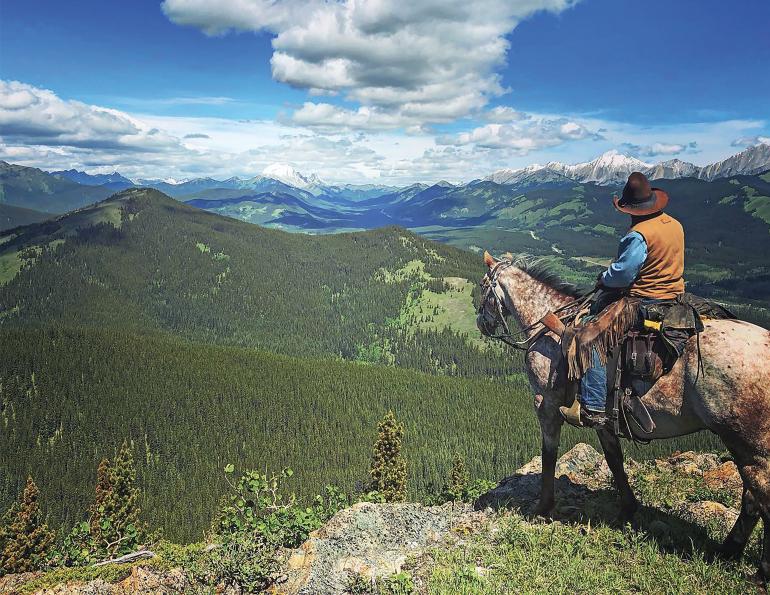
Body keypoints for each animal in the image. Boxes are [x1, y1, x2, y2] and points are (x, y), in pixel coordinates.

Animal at [474, 251, 768, 584]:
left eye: (483, 286)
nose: (481, 322)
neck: (549, 326)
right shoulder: (602, 416)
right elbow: (614, 458)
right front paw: (628, 507)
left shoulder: (546, 405)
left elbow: (549, 455)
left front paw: (543, 507)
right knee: (753, 499)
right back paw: (729, 551)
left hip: (747, 444)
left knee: (759, 496)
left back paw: (757, 569)